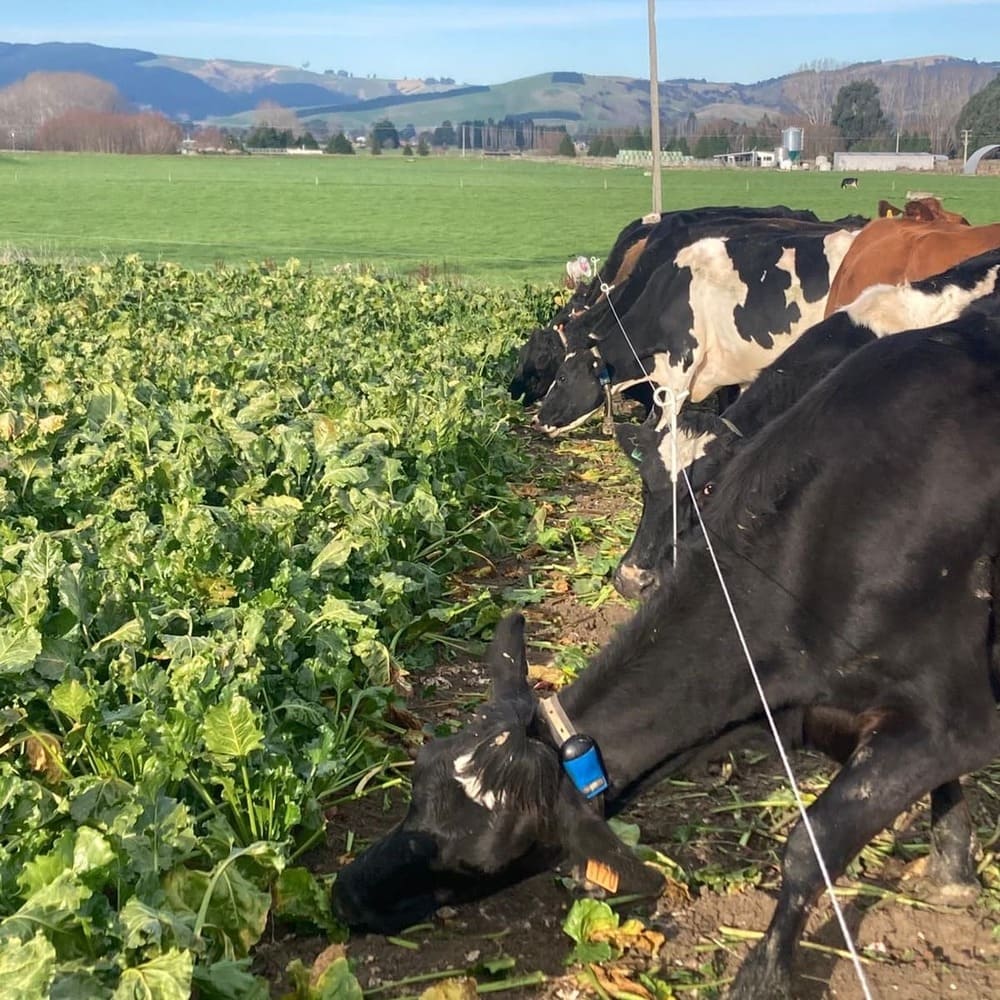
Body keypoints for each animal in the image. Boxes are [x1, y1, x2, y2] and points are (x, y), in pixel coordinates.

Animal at [333, 311, 1000, 1000]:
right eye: (419, 776)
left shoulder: (956, 720)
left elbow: (811, 842)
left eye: (486, 855)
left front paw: (762, 976)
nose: (345, 894)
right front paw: (953, 867)